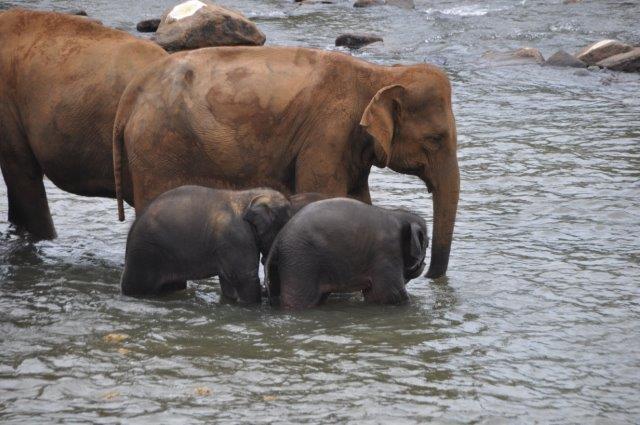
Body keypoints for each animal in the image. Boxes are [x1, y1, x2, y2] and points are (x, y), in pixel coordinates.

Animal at [112, 47, 458, 278]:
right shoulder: (328, 133)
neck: (380, 74)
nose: (428, 274)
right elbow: (325, 193)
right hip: (157, 148)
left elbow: (358, 199)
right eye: (436, 138)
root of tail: (130, 95)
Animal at [264, 197, 430, 310]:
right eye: (427, 244)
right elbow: (389, 295)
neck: (397, 215)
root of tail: (277, 240)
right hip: (300, 261)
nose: (423, 264)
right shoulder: (387, 252)